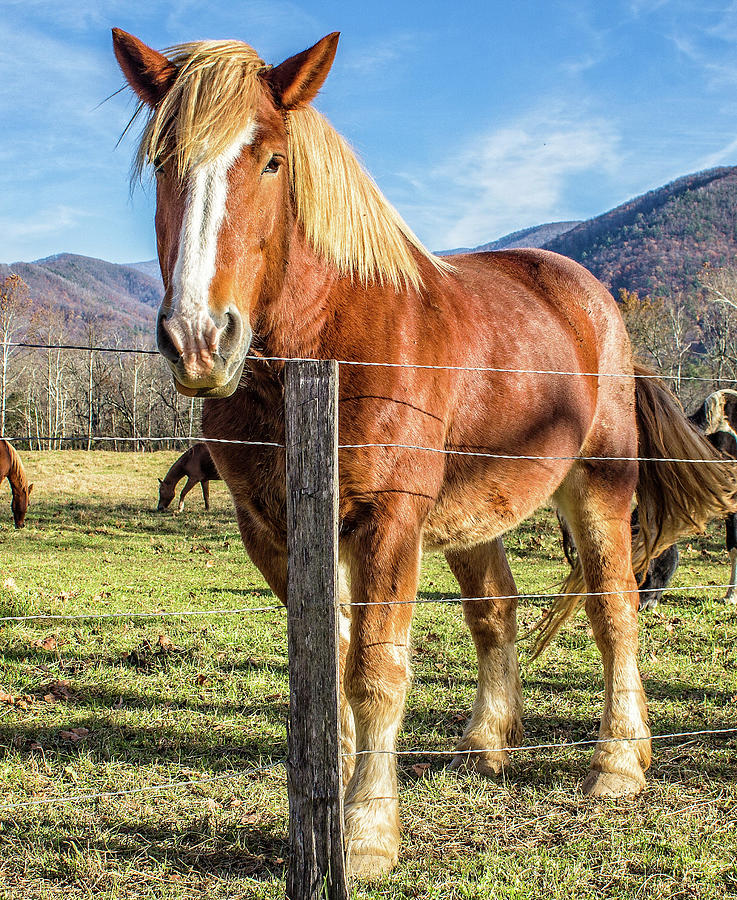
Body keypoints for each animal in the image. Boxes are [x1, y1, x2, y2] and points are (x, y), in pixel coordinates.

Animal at [113, 29, 736, 880]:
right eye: (163, 162)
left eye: (271, 161)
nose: (199, 339)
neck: (325, 345)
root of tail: (595, 304)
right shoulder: (272, 531)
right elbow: (329, 666)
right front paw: (329, 807)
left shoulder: (387, 524)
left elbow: (374, 672)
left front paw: (368, 831)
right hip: (476, 512)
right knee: (495, 610)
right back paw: (487, 743)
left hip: (599, 489)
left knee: (613, 610)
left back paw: (617, 764)